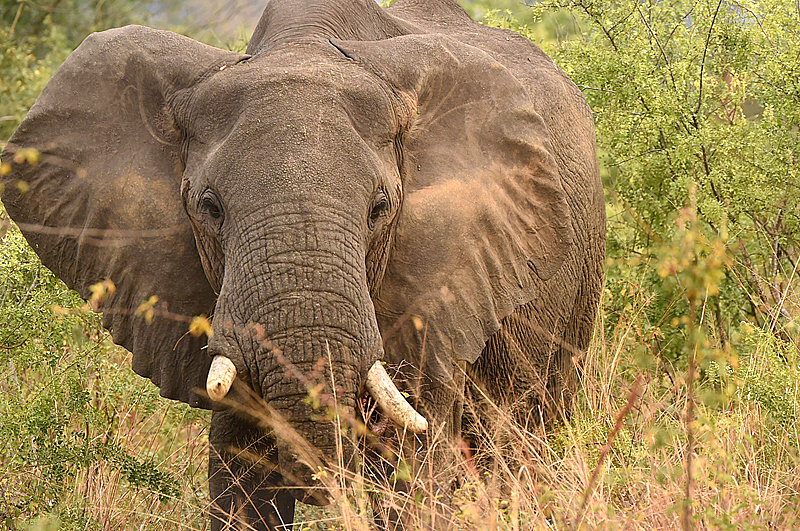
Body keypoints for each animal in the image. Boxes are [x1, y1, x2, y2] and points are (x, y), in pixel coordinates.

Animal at [0, 0, 604, 528]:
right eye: (209, 208)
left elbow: (413, 469)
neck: (303, 46)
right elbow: (239, 481)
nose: (319, 487)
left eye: (380, 208)